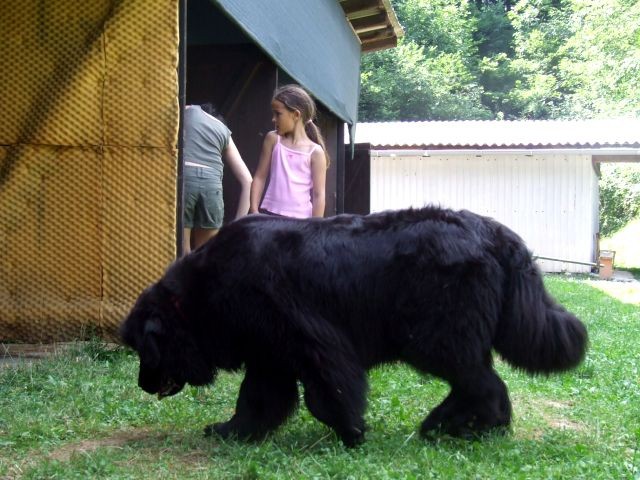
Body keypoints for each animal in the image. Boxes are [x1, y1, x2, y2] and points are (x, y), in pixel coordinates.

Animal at [120, 206, 592, 446]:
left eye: (145, 350)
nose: (143, 384)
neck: (201, 295)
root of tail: (491, 231)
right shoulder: (269, 356)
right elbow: (256, 401)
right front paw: (232, 432)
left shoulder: (312, 342)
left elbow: (328, 393)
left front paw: (351, 433)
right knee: (481, 382)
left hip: (434, 338)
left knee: (483, 384)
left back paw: (453, 426)